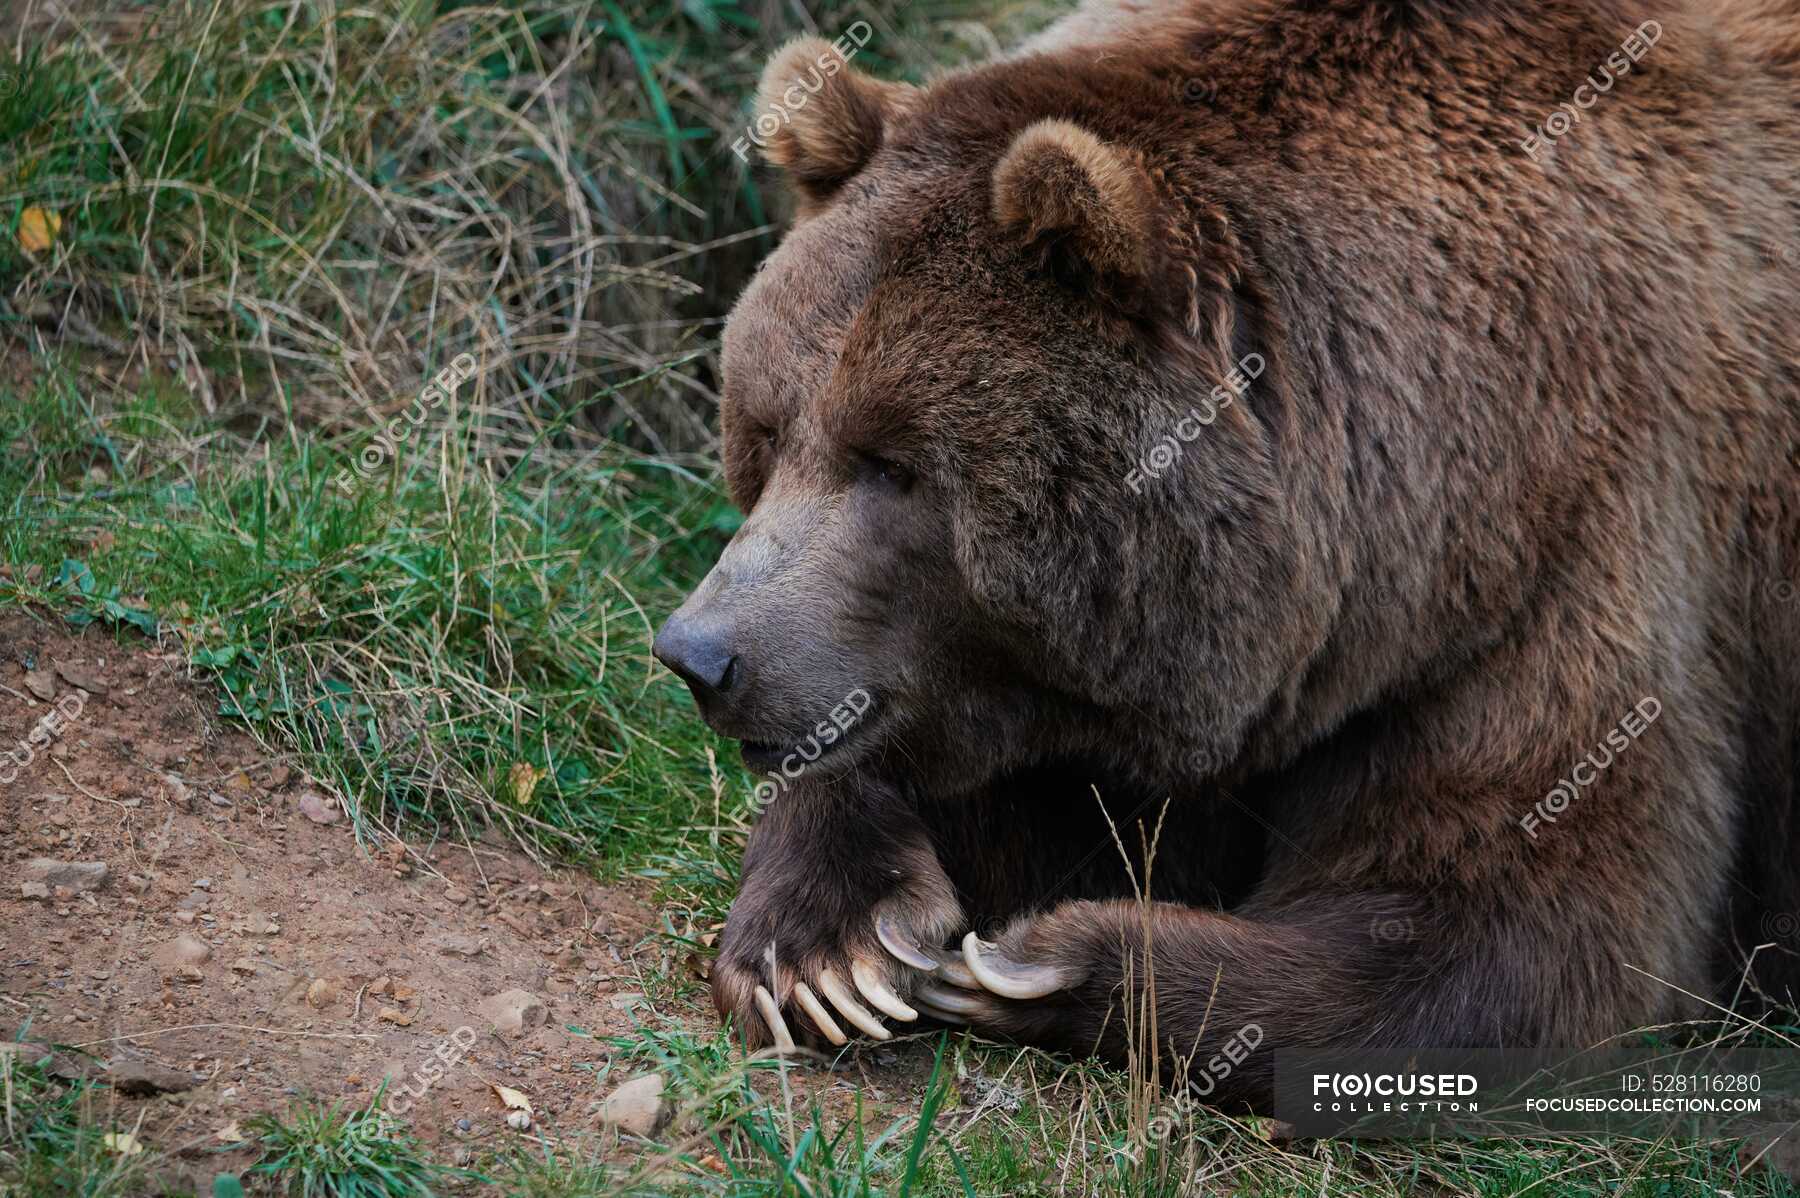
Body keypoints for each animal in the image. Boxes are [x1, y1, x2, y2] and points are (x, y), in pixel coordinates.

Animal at [655, 0, 1800, 1108]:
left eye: (891, 463)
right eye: (766, 427)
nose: (701, 653)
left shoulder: (1575, 567)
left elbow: (1517, 930)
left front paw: (1044, 957)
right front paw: (826, 945)